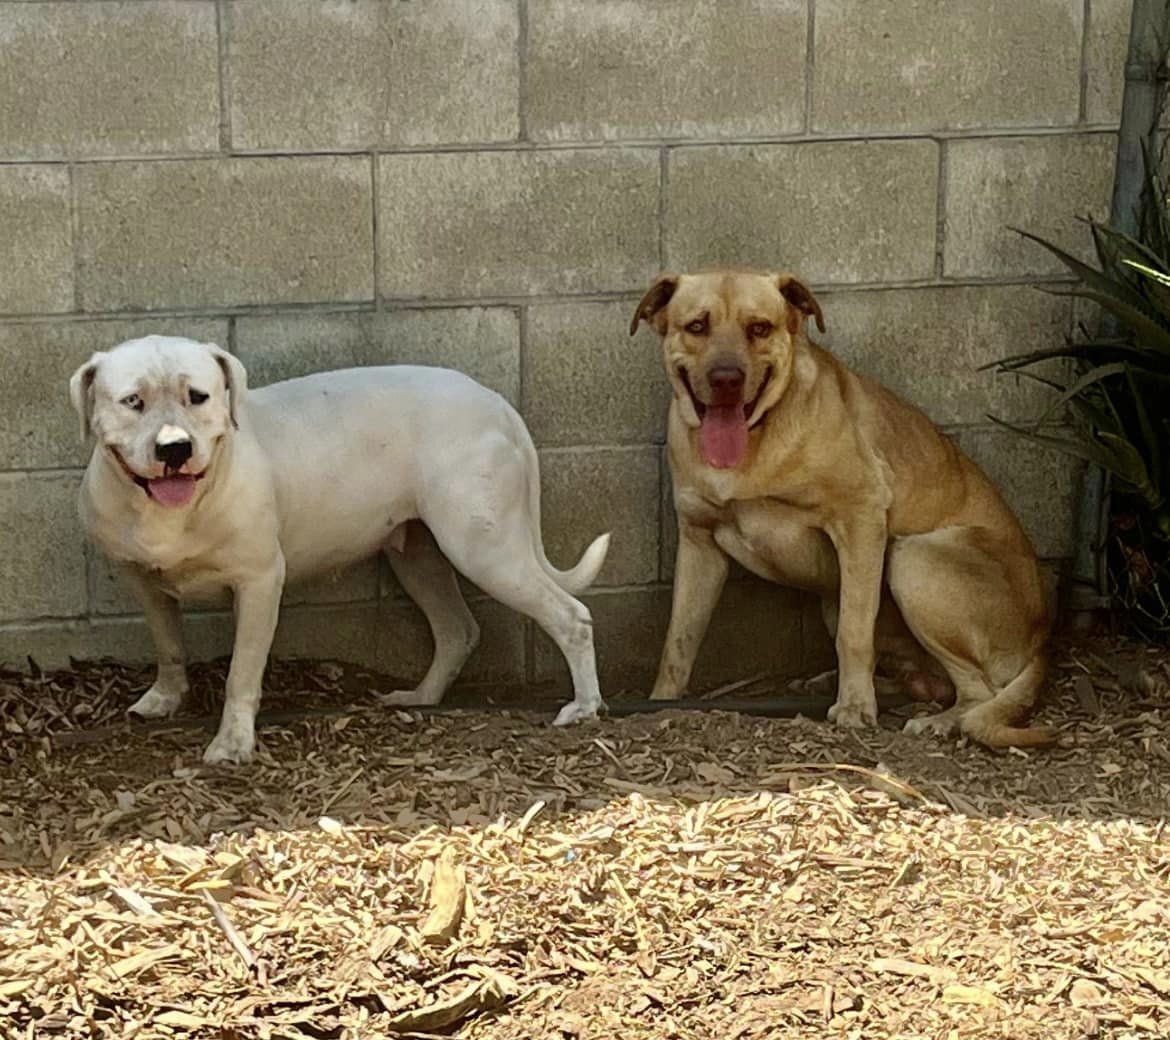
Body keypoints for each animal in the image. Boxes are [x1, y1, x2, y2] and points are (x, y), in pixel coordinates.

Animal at [70, 336, 613, 758]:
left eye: (198, 396)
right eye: (132, 401)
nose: (175, 448)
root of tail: (497, 402)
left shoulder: (260, 582)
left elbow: (242, 671)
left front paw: (232, 743)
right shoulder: (145, 582)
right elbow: (168, 643)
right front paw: (164, 699)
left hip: (483, 548)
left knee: (571, 616)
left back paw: (584, 708)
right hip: (417, 556)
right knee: (457, 629)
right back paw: (420, 697)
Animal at [636, 267, 1057, 748]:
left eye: (759, 328)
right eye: (697, 326)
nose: (727, 378)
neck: (756, 443)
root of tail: (1042, 636)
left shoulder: (861, 518)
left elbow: (855, 633)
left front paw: (855, 706)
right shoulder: (699, 543)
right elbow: (678, 640)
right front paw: (660, 702)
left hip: (912, 558)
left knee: (977, 691)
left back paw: (938, 720)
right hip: (840, 597)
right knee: (926, 678)